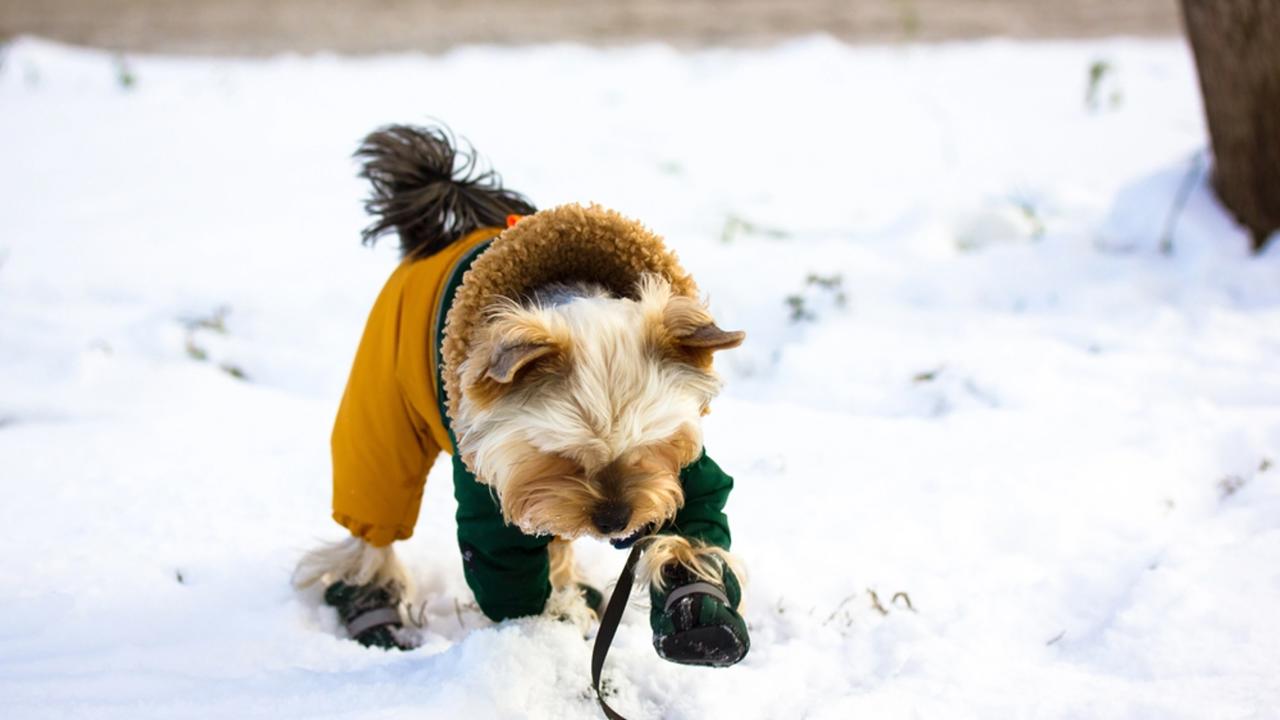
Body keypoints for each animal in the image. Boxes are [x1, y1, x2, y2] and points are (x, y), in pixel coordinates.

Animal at [290, 121, 747, 661]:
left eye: (653, 447)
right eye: (562, 456)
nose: (615, 521)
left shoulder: (686, 471)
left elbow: (699, 517)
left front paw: (699, 607)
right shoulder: (491, 480)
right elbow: (506, 571)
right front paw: (543, 631)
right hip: (381, 397)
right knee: (373, 508)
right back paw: (370, 601)